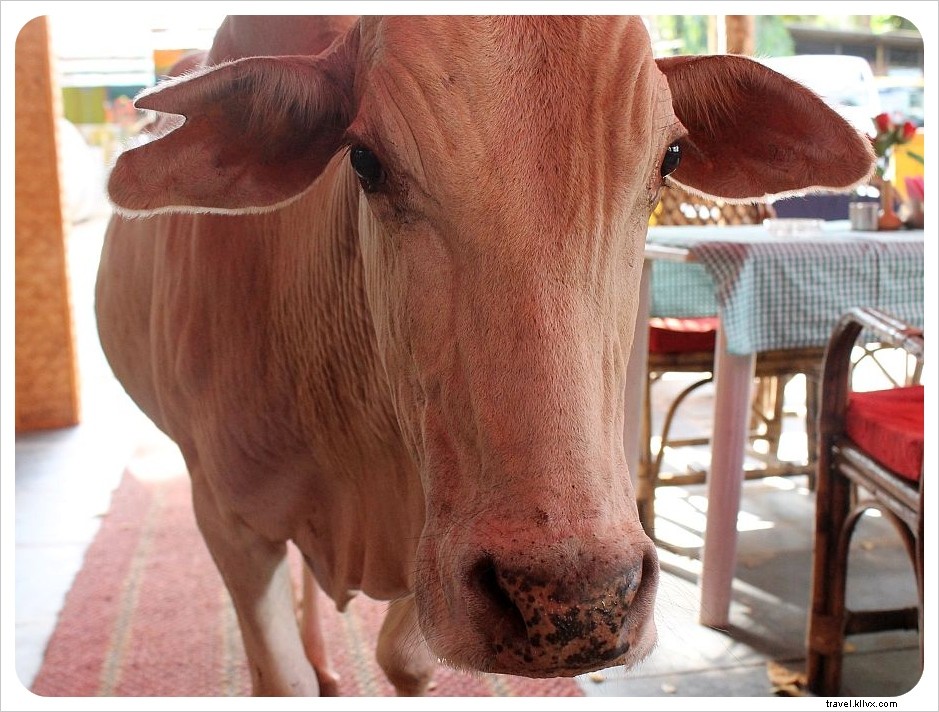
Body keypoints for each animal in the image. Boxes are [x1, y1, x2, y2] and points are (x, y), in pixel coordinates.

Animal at [96, 15, 875, 696]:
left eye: (671, 158)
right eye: (364, 160)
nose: (578, 600)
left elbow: (405, 659)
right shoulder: (227, 522)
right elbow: (281, 678)